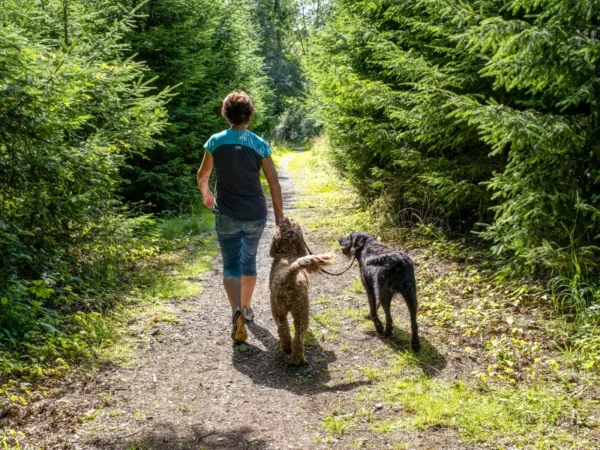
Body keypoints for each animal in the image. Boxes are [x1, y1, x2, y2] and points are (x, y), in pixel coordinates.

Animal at [270, 219, 336, 366]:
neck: (287, 254)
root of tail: (289, 276)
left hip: (281, 310)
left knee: (285, 331)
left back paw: (287, 350)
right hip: (301, 312)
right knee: (297, 338)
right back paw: (298, 360)